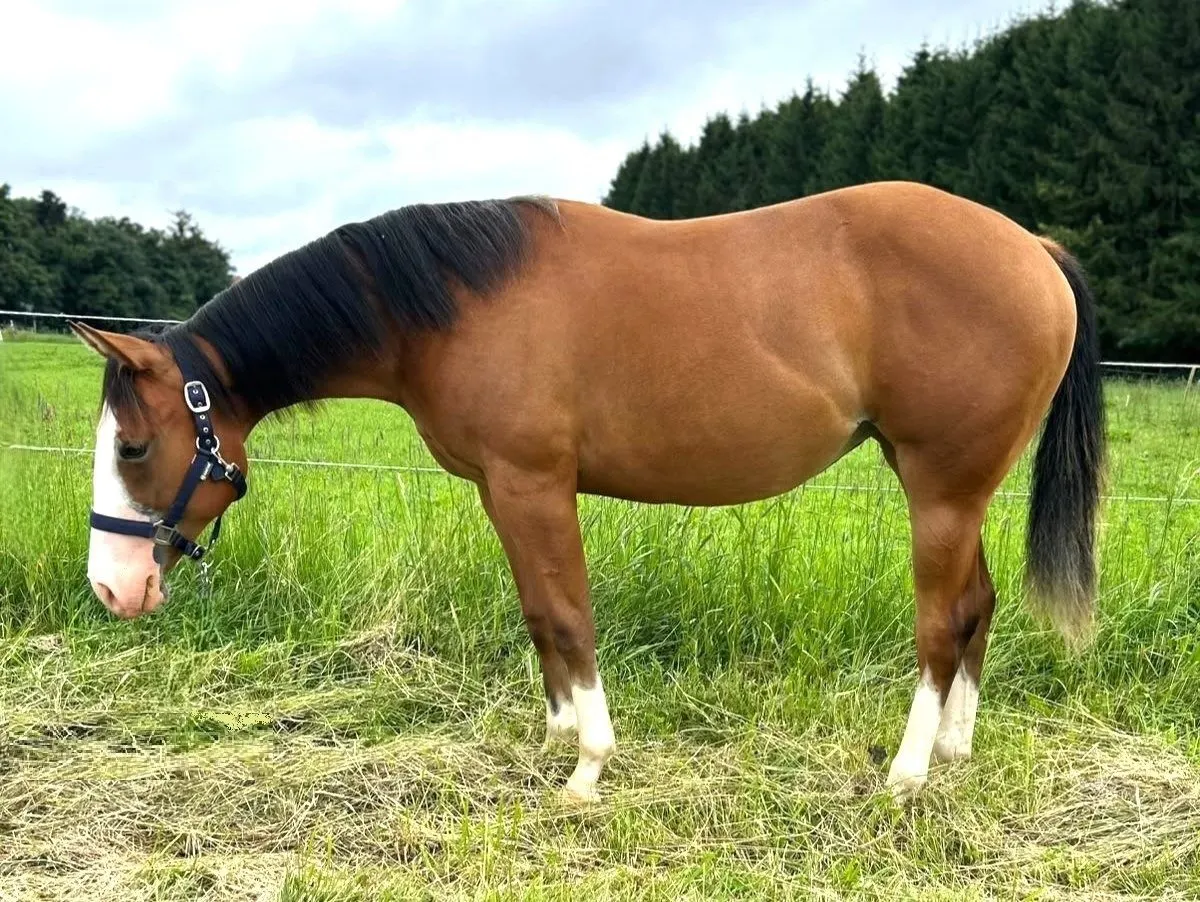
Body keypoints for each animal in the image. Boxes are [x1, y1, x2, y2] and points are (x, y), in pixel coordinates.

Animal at [71, 180, 1105, 803]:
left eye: (132, 444)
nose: (113, 588)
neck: (452, 305)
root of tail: (1032, 247)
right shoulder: (501, 492)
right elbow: (539, 615)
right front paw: (556, 734)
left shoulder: (535, 486)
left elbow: (569, 614)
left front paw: (588, 768)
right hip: (950, 488)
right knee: (976, 605)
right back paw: (956, 752)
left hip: (940, 487)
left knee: (940, 623)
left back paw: (906, 772)